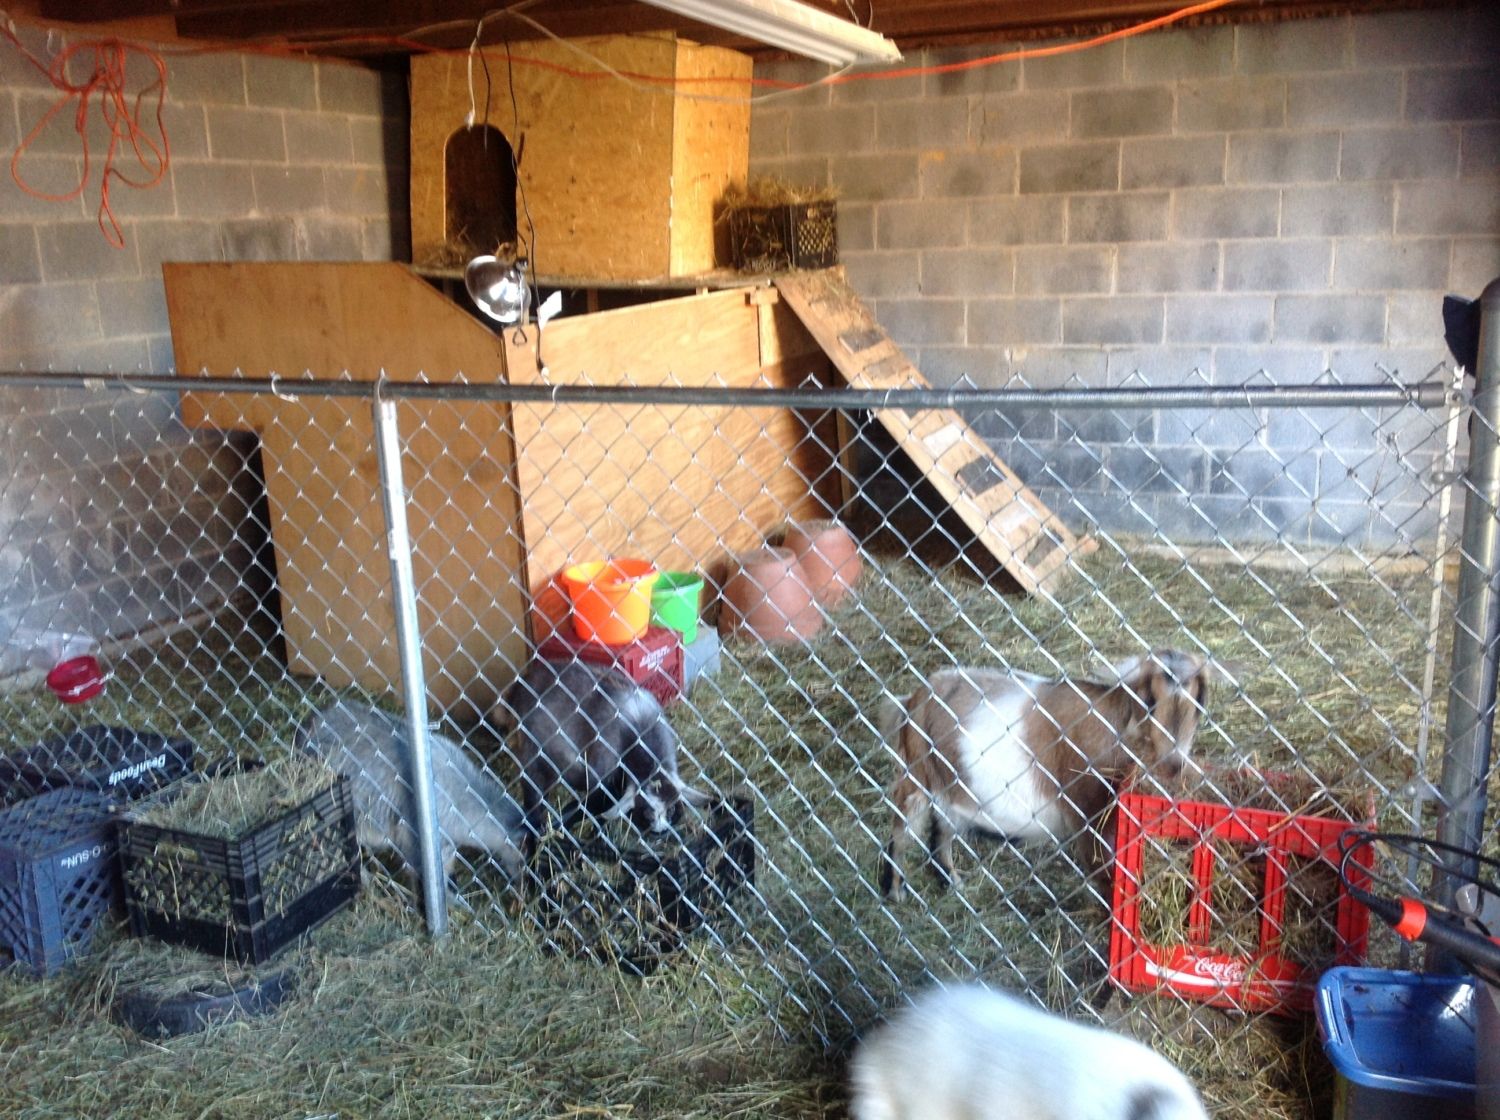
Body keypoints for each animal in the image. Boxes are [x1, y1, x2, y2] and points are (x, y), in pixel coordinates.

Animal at [498, 660, 711, 848]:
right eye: (646, 814)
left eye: (672, 808)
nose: (662, 830)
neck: (641, 727)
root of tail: (519, 687)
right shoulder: (604, 763)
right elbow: (597, 801)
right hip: (532, 751)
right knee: (533, 793)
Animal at [878, 650, 1209, 900]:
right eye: (1150, 702)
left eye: (1197, 705)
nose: (1174, 764)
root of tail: (913, 699)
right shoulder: (1086, 813)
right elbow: (1102, 871)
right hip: (916, 778)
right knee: (902, 829)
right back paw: (895, 891)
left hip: (953, 790)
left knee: (941, 831)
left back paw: (953, 882)